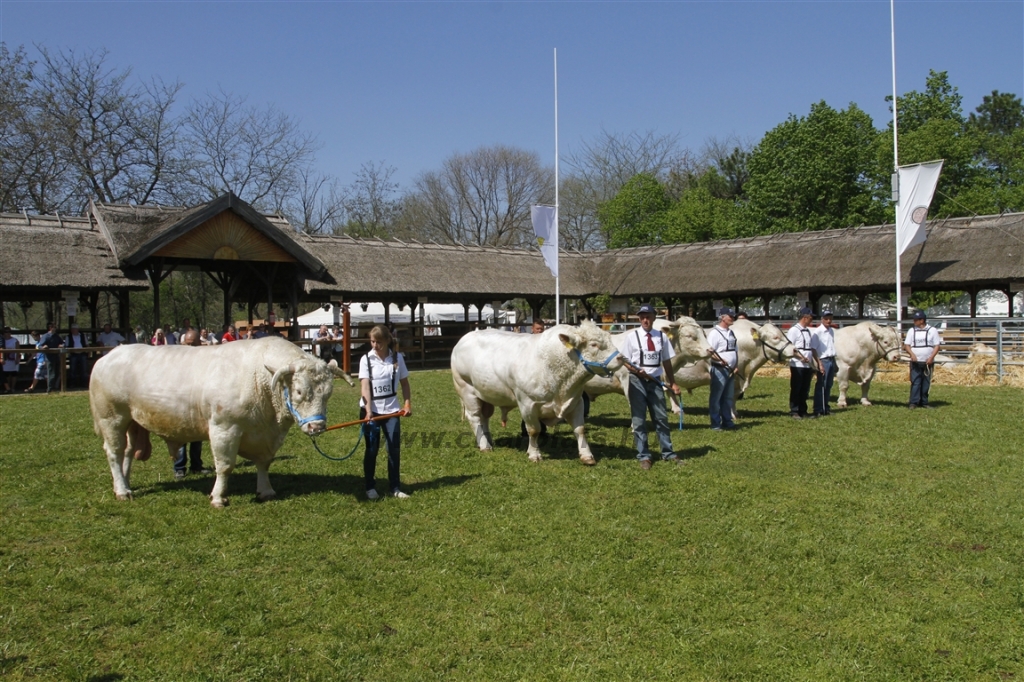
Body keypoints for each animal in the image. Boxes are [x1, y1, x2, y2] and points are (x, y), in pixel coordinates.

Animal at [89, 335, 352, 503]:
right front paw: (218, 497)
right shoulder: (224, 428)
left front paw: (266, 491)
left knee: (126, 452)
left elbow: (264, 462)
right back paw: (122, 491)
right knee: (114, 452)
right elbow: (225, 465)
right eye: (298, 391)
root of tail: (109, 355)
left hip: (132, 422)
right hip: (111, 417)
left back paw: (124, 484)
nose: (317, 426)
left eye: (327, 393)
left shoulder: (266, 436)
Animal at [450, 319, 622, 462]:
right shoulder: (527, 404)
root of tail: (465, 338)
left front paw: (587, 455)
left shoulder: (576, 401)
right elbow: (533, 430)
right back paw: (484, 445)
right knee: (475, 417)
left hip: (485, 394)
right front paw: (534, 454)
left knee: (484, 418)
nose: (621, 358)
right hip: (466, 389)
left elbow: (580, 429)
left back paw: (488, 440)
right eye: (594, 344)